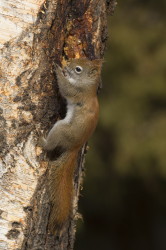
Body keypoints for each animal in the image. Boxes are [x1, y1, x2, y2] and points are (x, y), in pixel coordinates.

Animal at [40, 57, 102, 233]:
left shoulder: (77, 92)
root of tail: (75, 147)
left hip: (61, 130)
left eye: (78, 69)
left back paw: (42, 140)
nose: (67, 65)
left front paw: (58, 70)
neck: (88, 85)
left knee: (50, 145)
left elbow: (65, 88)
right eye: (77, 59)